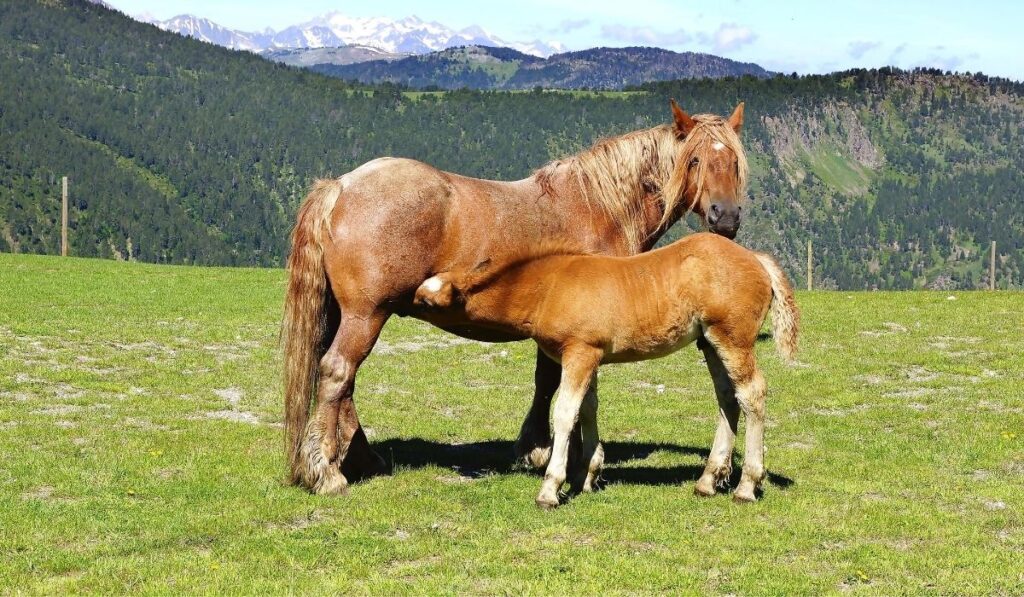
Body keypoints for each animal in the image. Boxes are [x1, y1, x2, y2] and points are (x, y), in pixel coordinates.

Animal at [283, 100, 749, 495]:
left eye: (734, 162)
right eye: (695, 159)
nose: (725, 217)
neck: (599, 208)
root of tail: (341, 187)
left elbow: (548, 383)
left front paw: (539, 449)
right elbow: (560, 387)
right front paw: (559, 456)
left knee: (342, 383)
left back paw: (361, 458)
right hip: (366, 315)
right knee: (338, 374)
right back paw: (326, 473)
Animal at [413, 232, 799, 508]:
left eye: (427, 301)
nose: (405, 303)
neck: (549, 286)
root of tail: (755, 259)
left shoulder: (580, 352)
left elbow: (565, 412)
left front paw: (551, 488)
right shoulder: (591, 356)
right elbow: (588, 408)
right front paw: (586, 477)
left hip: (733, 339)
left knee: (751, 393)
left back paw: (746, 486)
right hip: (709, 342)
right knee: (727, 398)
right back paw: (707, 481)